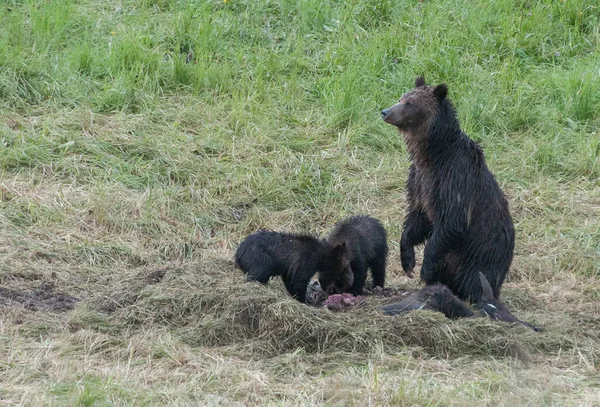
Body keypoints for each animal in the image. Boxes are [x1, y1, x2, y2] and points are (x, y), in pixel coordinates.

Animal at [382, 78, 512, 304]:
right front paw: (407, 261)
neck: (432, 155)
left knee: (475, 279)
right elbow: (417, 218)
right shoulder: (419, 181)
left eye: (410, 103)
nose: (385, 111)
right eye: (401, 97)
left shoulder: (454, 179)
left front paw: (424, 268)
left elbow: (452, 222)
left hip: (481, 256)